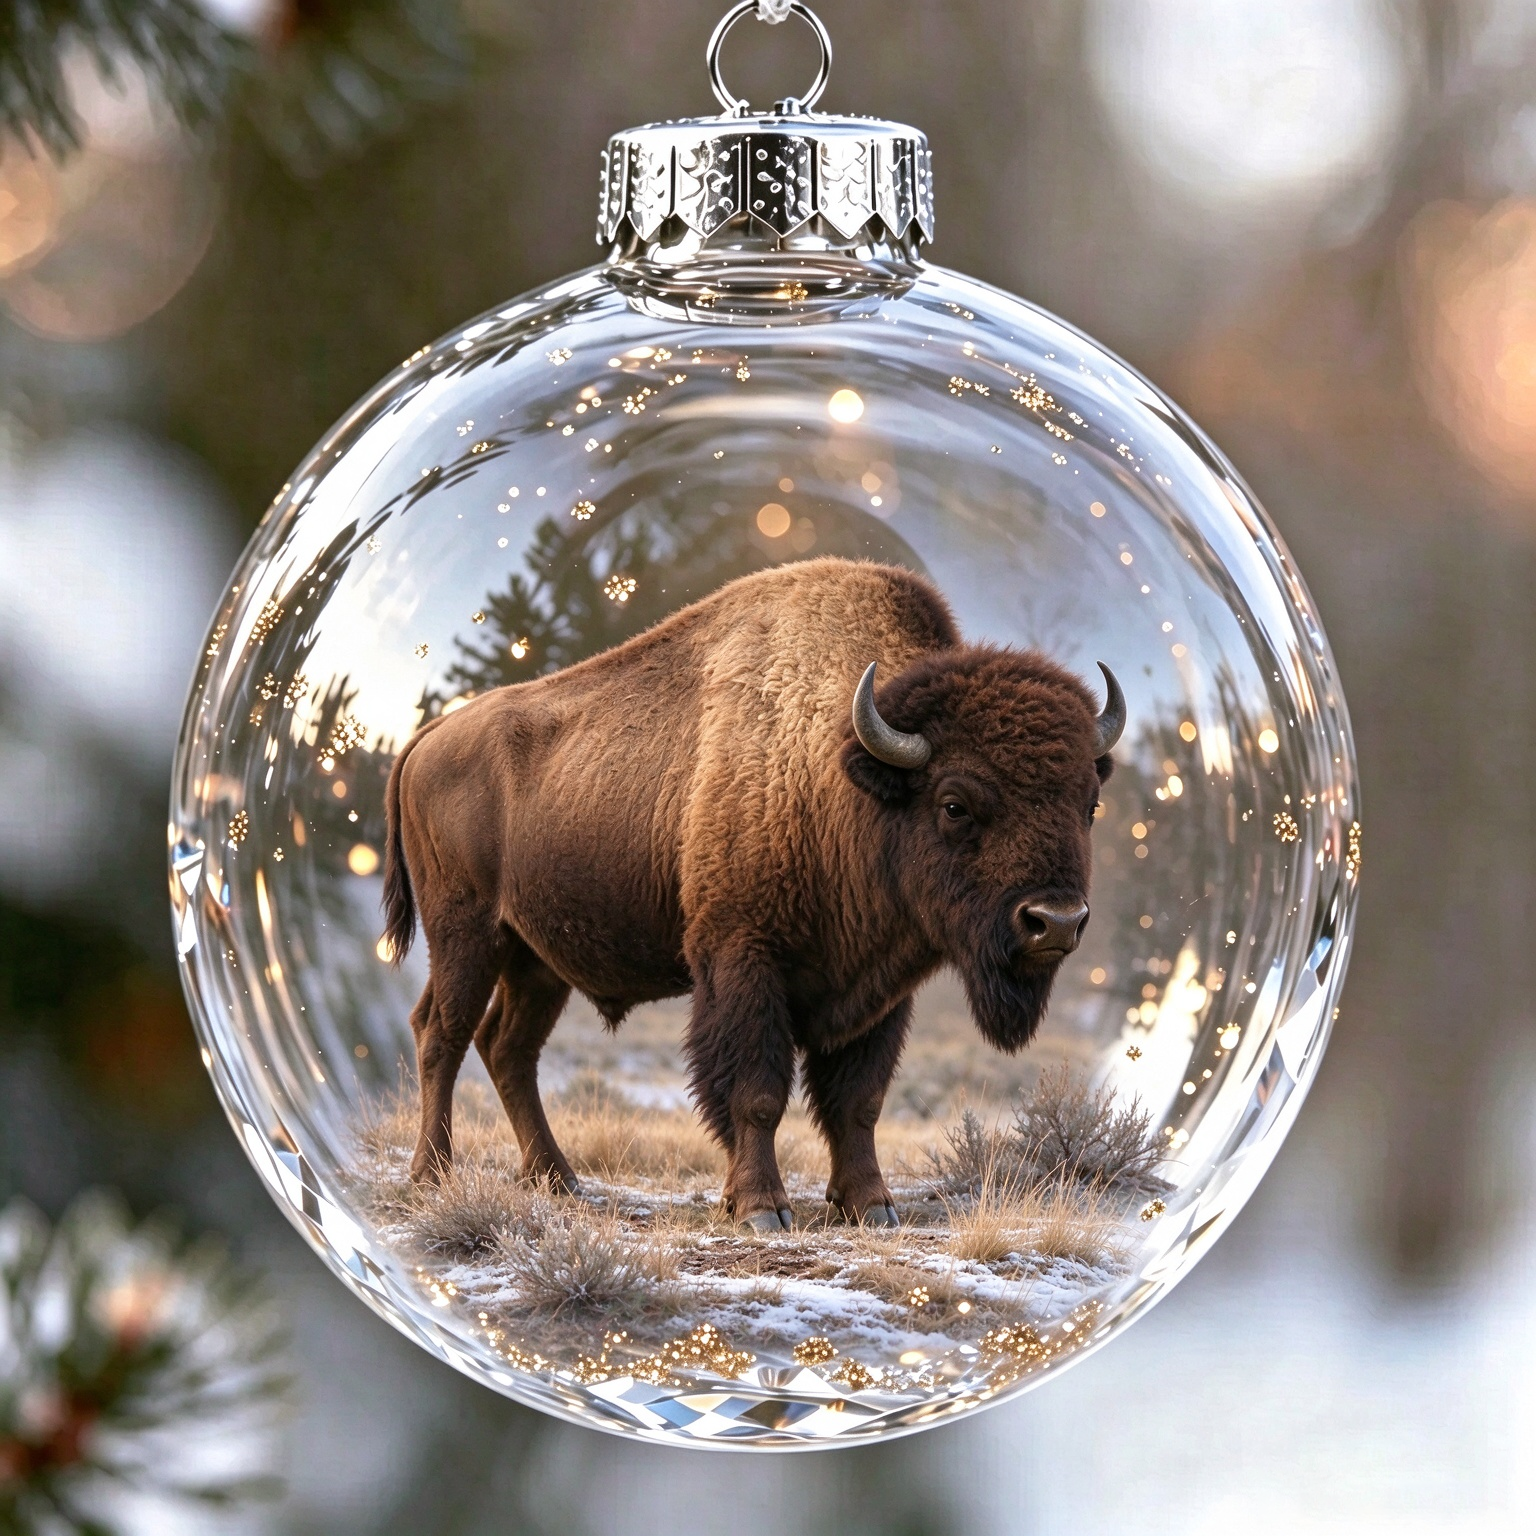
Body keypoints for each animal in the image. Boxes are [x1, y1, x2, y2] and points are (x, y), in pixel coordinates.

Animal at [383, 557, 1124, 1230]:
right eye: (955, 804)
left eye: (1089, 803)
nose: (1055, 921)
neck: (842, 773)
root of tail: (428, 737)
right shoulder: (743, 961)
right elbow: (758, 1093)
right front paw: (762, 1209)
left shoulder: (880, 991)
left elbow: (858, 1100)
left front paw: (872, 1206)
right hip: (467, 935)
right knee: (442, 1034)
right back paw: (433, 1175)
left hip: (537, 959)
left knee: (508, 1048)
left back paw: (557, 1179)